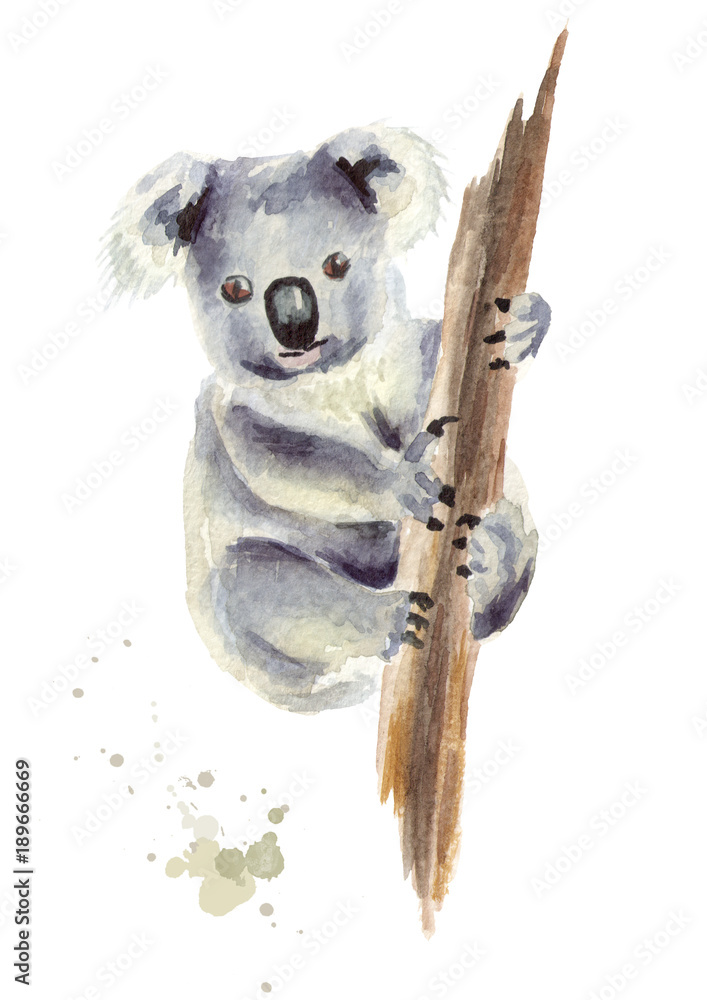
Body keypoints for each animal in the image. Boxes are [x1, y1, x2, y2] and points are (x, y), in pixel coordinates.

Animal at [103, 123, 550, 713]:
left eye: (337, 264)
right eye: (235, 289)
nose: (294, 321)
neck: (334, 378)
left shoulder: (406, 361)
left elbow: (445, 354)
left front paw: (521, 323)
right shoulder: (238, 416)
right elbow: (294, 464)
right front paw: (405, 484)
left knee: (503, 572)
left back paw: (494, 557)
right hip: (254, 602)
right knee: (277, 589)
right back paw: (397, 616)